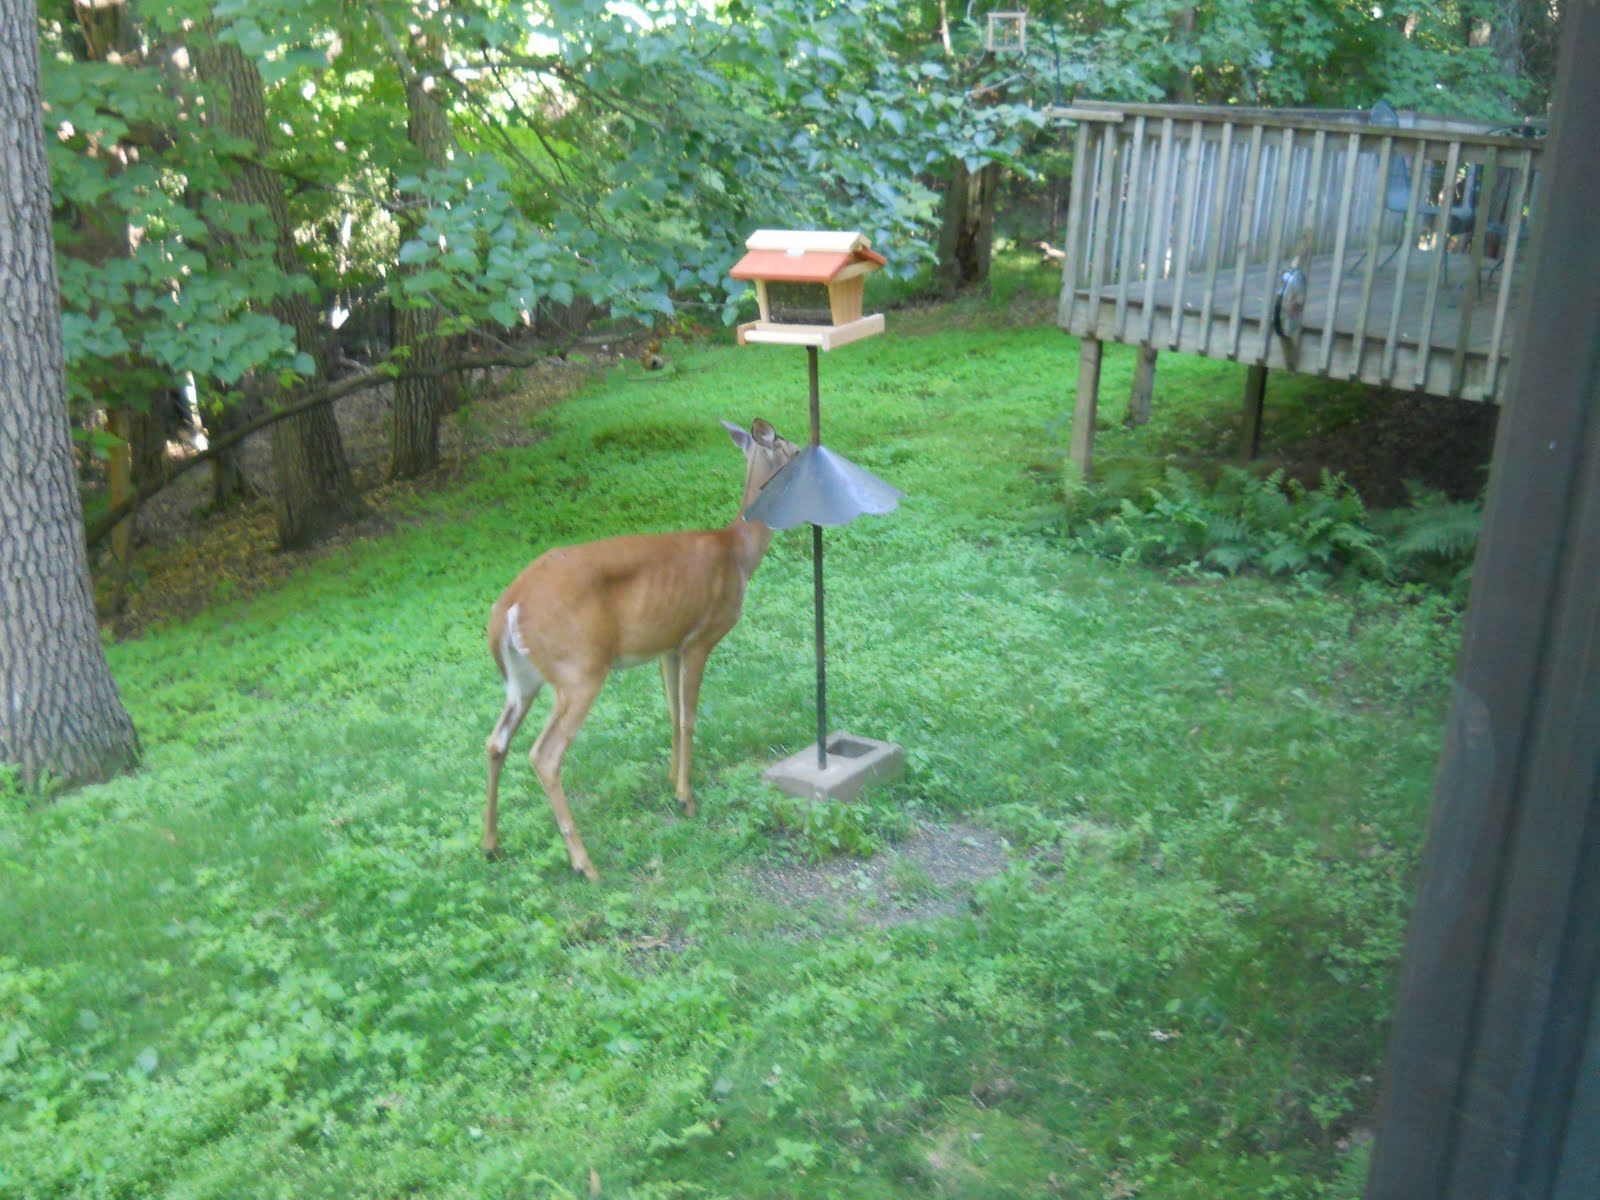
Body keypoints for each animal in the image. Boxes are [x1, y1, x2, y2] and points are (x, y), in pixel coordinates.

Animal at [476, 419, 796, 876]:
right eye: (794, 449)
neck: (738, 552)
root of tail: (508, 606)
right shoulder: (701, 636)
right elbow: (689, 717)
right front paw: (687, 798)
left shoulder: (668, 645)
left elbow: (673, 712)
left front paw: (672, 782)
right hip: (579, 669)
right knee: (545, 755)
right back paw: (584, 863)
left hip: (523, 679)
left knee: (496, 741)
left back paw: (491, 845)